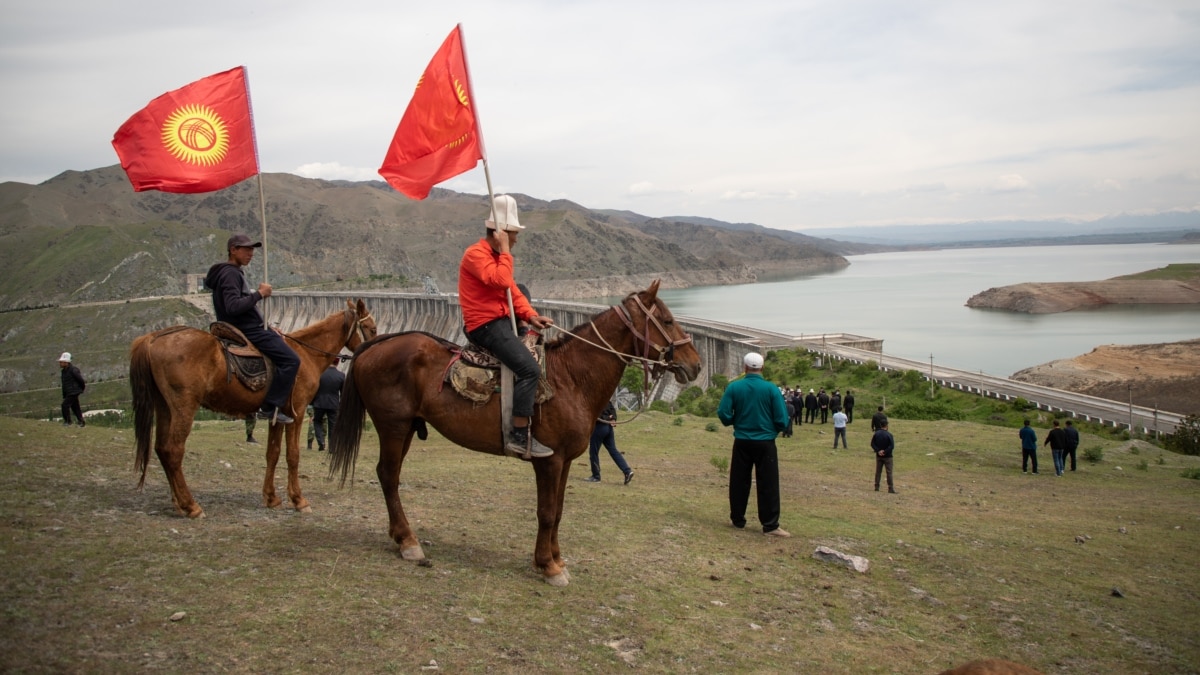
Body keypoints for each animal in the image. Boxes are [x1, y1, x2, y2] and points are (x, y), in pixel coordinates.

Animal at [132, 297, 376, 514]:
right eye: (372, 328)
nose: (375, 345)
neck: (307, 354)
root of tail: (152, 338)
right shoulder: (296, 412)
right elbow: (293, 455)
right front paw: (299, 500)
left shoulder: (278, 414)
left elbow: (273, 453)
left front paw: (271, 498)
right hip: (185, 405)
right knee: (173, 449)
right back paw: (191, 506)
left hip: (164, 405)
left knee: (161, 447)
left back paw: (178, 502)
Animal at [328, 278, 700, 583]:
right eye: (668, 320)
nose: (695, 365)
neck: (572, 378)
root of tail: (376, 345)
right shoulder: (549, 460)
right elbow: (546, 512)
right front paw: (548, 566)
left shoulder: (565, 460)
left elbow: (559, 511)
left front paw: (557, 560)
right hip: (392, 425)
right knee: (388, 475)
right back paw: (408, 542)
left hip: (406, 427)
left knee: (387, 474)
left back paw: (400, 537)